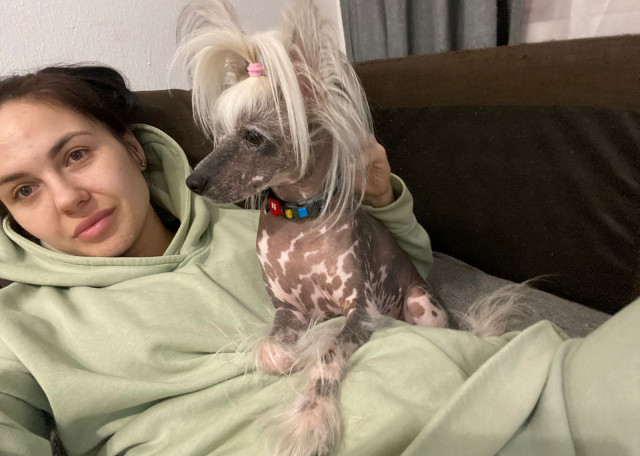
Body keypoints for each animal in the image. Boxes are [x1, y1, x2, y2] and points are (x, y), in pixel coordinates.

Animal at [176, 1, 448, 454]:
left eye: (253, 136)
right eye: (219, 134)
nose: (192, 182)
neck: (298, 221)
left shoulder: (360, 311)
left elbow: (327, 356)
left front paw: (310, 417)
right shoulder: (287, 311)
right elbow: (273, 350)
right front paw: (291, 353)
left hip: (421, 306)